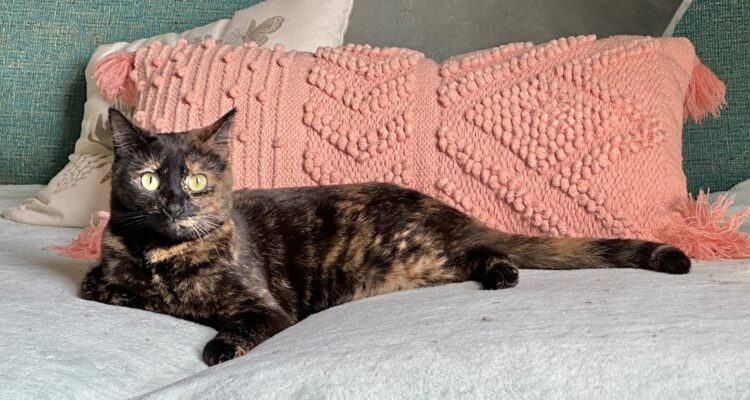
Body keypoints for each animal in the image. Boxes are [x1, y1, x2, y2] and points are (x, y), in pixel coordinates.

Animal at [80, 108, 690, 366]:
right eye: (150, 179)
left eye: (197, 181)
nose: (175, 204)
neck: (162, 256)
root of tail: (448, 209)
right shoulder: (100, 276)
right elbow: (106, 288)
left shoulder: (265, 308)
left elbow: (238, 326)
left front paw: (217, 347)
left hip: (417, 253)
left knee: (486, 250)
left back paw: (502, 274)